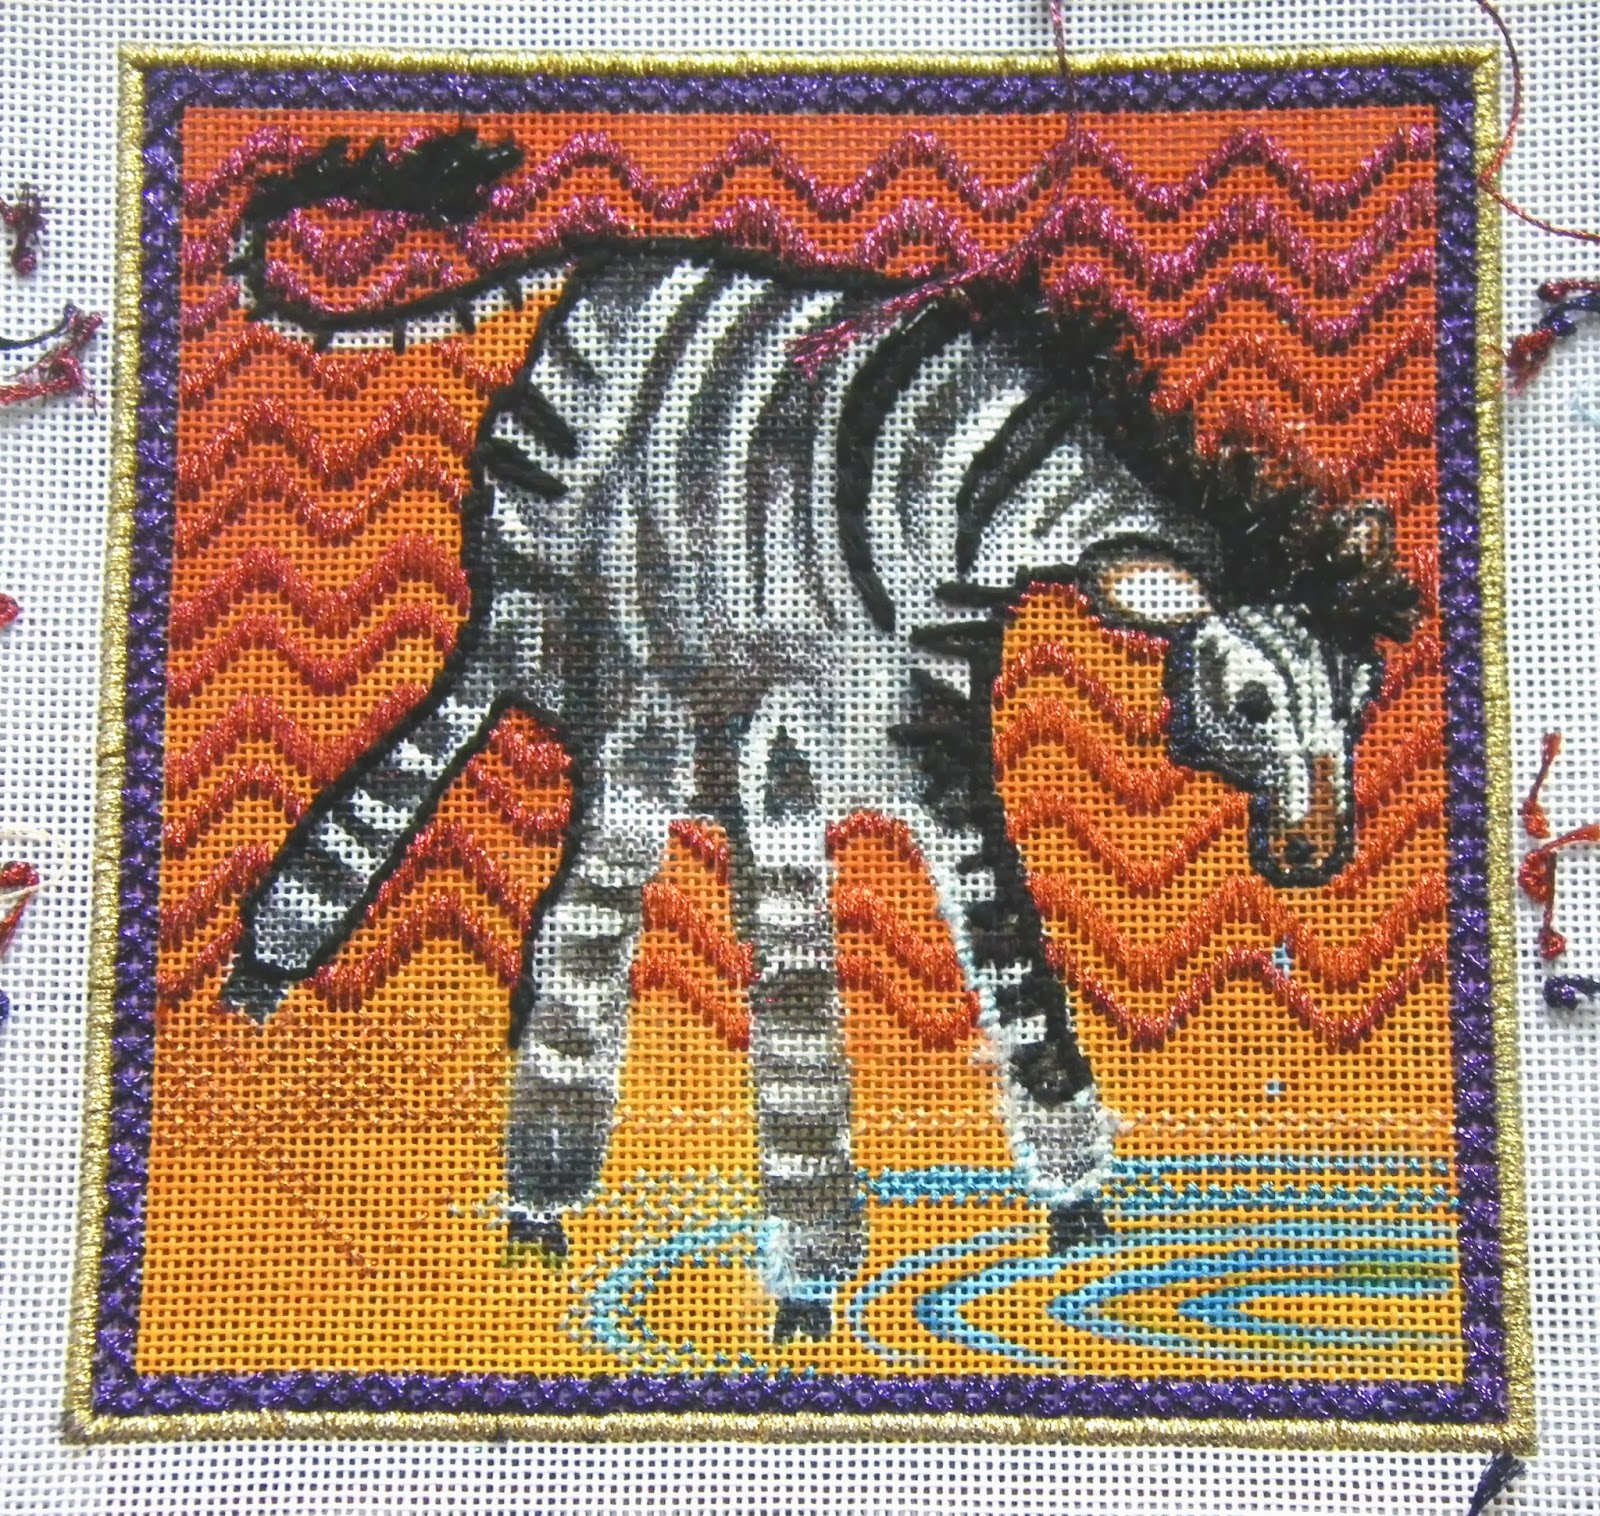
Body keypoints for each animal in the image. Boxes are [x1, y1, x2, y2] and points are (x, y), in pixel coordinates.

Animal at [218, 140, 1419, 1344]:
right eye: (1250, 701)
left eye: (1362, 694)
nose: (1316, 856)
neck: (954, 520)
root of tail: (614, 261)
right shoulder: (782, 754)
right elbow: (800, 1023)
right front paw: (807, 1281)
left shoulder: (940, 751)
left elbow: (1014, 961)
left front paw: (1077, 1210)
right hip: (537, 621)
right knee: (418, 795)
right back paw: (274, 1000)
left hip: (642, 710)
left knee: (580, 907)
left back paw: (536, 1193)